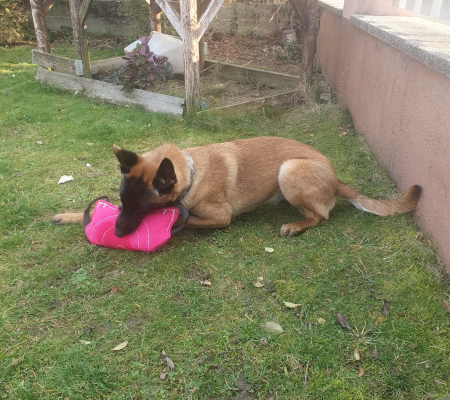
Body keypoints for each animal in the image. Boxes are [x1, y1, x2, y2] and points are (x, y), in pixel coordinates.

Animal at [51, 136, 421, 238]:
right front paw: (71, 215)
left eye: (145, 210)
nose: (116, 232)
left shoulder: (219, 217)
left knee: (321, 216)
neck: (192, 171)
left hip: (288, 170)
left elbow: (185, 220)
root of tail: (334, 175)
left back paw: (296, 225)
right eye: (123, 201)